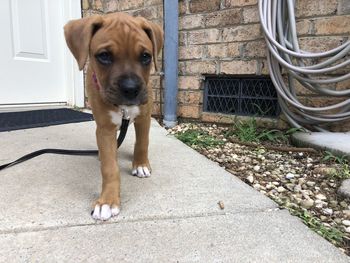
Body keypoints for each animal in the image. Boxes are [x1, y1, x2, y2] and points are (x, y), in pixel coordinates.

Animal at [64, 13, 163, 222]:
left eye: (145, 56)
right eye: (104, 56)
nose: (131, 89)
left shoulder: (144, 118)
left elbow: (142, 143)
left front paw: (141, 164)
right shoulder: (104, 129)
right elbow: (110, 168)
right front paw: (107, 201)